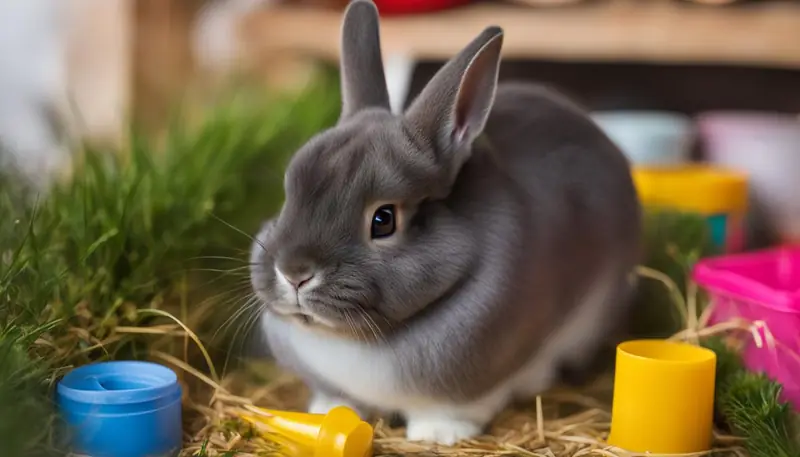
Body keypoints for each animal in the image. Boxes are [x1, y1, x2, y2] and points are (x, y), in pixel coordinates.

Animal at [250, 0, 642, 445]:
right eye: (288, 195)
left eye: (383, 220)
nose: (293, 273)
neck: (351, 340)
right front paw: (327, 411)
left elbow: (456, 409)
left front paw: (437, 434)